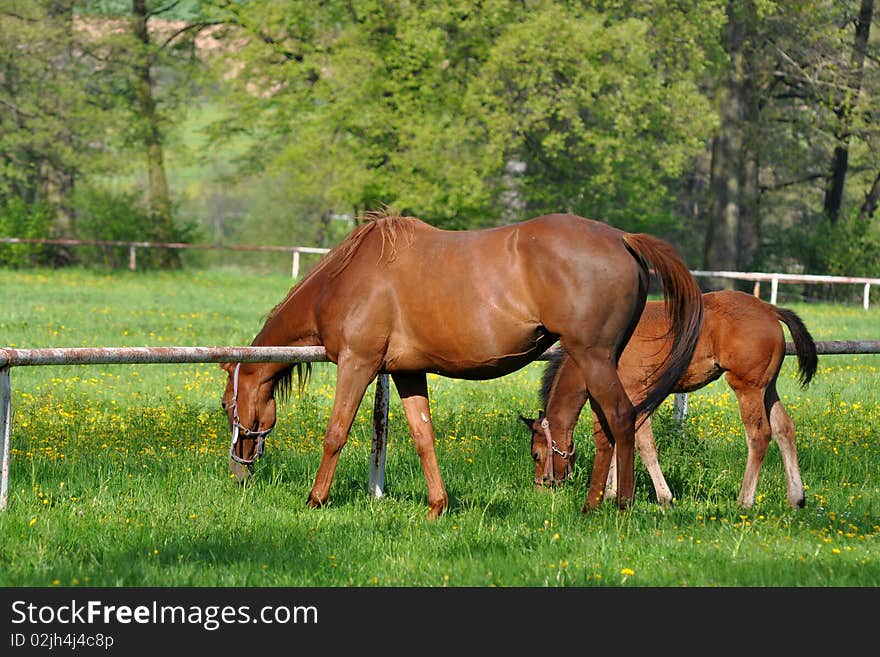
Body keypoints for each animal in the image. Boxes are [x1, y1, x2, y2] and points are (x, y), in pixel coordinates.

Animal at [220, 210, 700, 516]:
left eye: (227, 406)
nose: (238, 473)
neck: (346, 277)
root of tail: (623, 238)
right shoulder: (407, 373)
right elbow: (423, 438)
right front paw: (438, 506)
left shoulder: (358, 364)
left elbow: (335, 433)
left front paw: (315, 499)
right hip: (600, 362)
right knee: (606, 428)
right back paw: (593, 504)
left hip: (593, 357)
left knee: (620, 418)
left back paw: (619, 506)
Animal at [524, 290, 820, 510]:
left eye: (536, 454)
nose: (541, 489)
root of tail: (769, 309)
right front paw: (609, 493)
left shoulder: (635, 395)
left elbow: (644, 446)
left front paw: (663, 498)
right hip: (768, 388)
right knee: (784, 429)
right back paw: (796, 498)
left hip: (747, 387)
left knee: (759, 436)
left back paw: (744, 501)